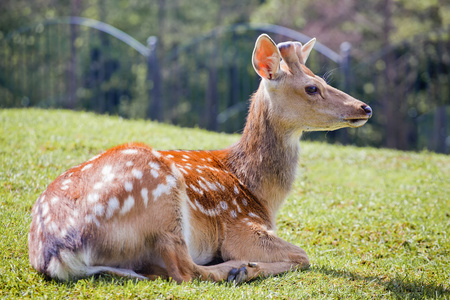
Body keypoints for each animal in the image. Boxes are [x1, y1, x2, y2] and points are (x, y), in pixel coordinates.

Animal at [28, 34, 372, 284]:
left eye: (323, 80)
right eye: (312, 88)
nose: (364, 107)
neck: (259, 194)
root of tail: (56, 252)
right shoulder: (240, 225)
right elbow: (303, 256)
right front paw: (245, 265)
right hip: (162, 198)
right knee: (185, 271)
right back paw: (237, 269)